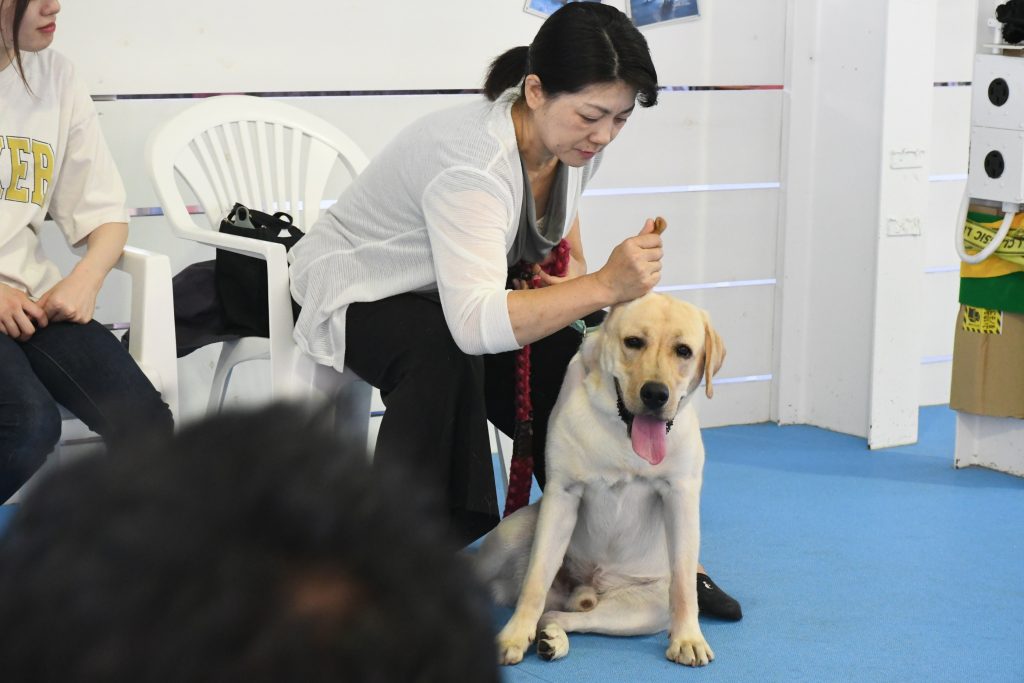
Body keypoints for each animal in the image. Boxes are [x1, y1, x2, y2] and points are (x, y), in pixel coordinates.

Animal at [475, 292, 724, 667]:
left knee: (562, 614)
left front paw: (688, 638)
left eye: (684, 351)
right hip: (509, 535)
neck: (623, 436)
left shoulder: (680, 496)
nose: (655, 393)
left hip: (645, 609)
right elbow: (536, 579)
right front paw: (514, 635)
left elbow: (683, 583)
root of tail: (587, 585)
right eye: (633, 342)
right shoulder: (563, 495)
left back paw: (553, 638)